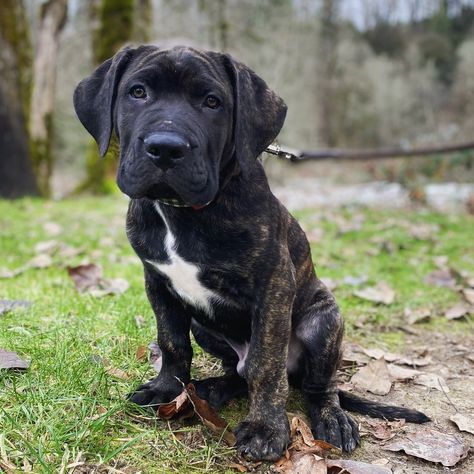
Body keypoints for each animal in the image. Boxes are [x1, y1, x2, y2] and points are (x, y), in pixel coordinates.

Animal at [73, 46, 430, 462]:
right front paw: (165, 390)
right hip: (205, 328)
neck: (182, 212)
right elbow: (172, 342)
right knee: (238, 372)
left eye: (212, 102)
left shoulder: (273, 286)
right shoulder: (158, 283)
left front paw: (265, 430)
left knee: (315, 385)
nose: (166, 147)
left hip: (323, 321)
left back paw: (332, 419)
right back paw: (211, 389)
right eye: (137, 92)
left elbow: (265, 365)